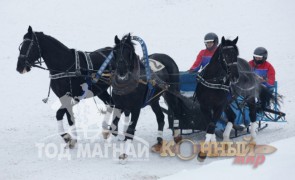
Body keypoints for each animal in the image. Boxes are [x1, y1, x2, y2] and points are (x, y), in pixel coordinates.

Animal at [110, 34, 182, 162]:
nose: (121, 70)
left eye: (129, 52)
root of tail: (165, 56)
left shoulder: (136, 108)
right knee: (160, 117)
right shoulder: (119, 105)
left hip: (171, 93)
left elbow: (131, 129)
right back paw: (159, 142)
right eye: (115, 51)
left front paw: (124, 154)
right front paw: (119, 136)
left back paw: (177, 136)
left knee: (176, 109)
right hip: (154, 100)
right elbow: (113, 126)